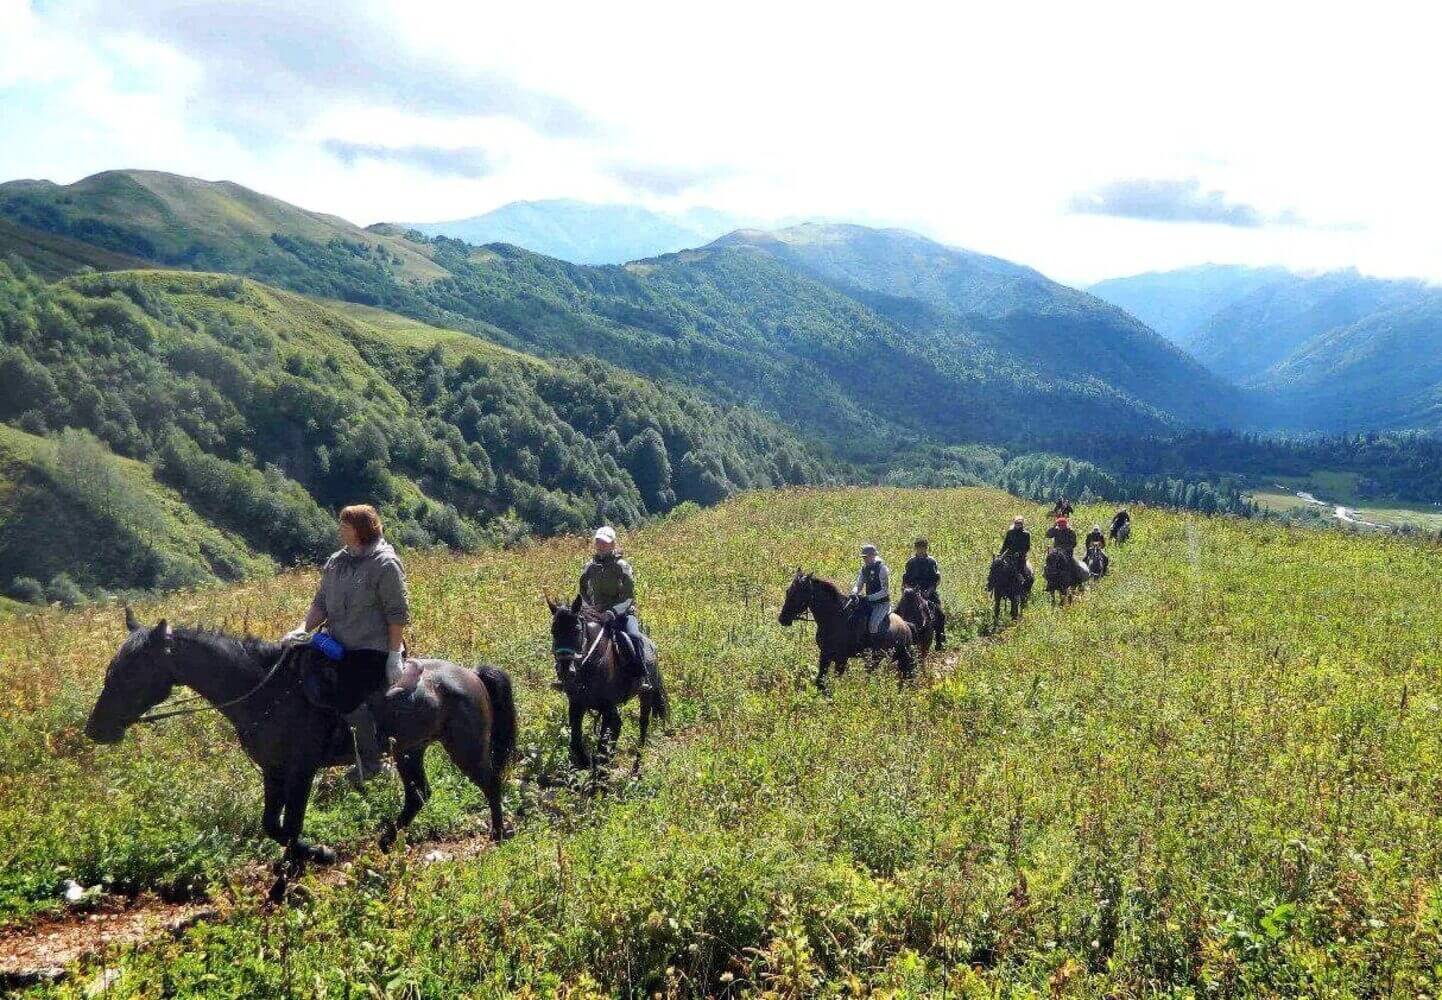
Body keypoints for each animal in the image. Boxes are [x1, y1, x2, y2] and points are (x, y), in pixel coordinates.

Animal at [85, 611, 519, 900]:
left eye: (129, 673)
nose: (96, 730)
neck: (265, 692)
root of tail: (472, 674)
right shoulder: (273, 771)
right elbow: (272, 826)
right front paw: (309, 859)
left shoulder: (301, 770)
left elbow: (290, 825)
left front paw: (294, 875)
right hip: (410, 750)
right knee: (418, 796)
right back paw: (384, 842)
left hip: (464, 747)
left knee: (490, 782)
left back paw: (498, 835)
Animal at [545, 591, 669, 779]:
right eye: (554, 631)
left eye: (577, 630)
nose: (565, 670)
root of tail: (651, 644)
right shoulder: (577, 705)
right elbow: (576, 742)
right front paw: (585, 763)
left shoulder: (609, 709)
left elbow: (604, 747)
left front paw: (599, 777)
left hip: (646, 695)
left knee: (643, 728)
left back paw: (635, 770)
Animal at [778, 568, 911, 695]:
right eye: (788, 591)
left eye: (796, 595)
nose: (782, 619)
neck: (835, 616)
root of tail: (906, 626)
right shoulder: (825, 654)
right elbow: (820, 681)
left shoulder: (841, 658)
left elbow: (834, 681)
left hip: (883, 658)